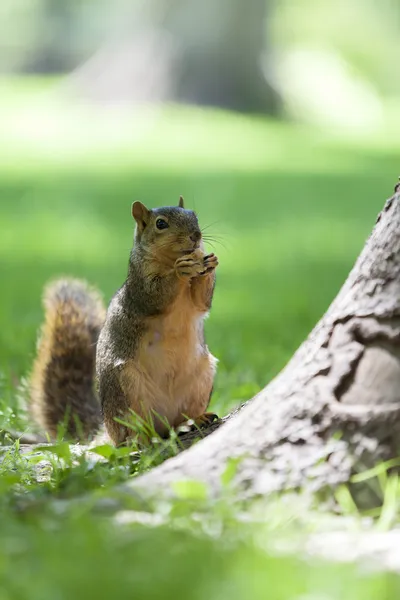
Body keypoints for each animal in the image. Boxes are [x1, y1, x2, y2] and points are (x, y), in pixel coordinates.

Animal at [29, 198, 219, 446]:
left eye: (193, 215)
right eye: (161, 224)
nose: (196, 235)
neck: (169, 259)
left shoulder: (197, 302)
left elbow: (202, 302)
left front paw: (210, 263)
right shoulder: (139, 286)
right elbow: (155, 295)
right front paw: (182, 268)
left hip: (202, 379)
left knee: (179, 422)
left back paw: (198, 418)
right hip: (126, 387)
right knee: (131, 431)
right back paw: (138, 438)